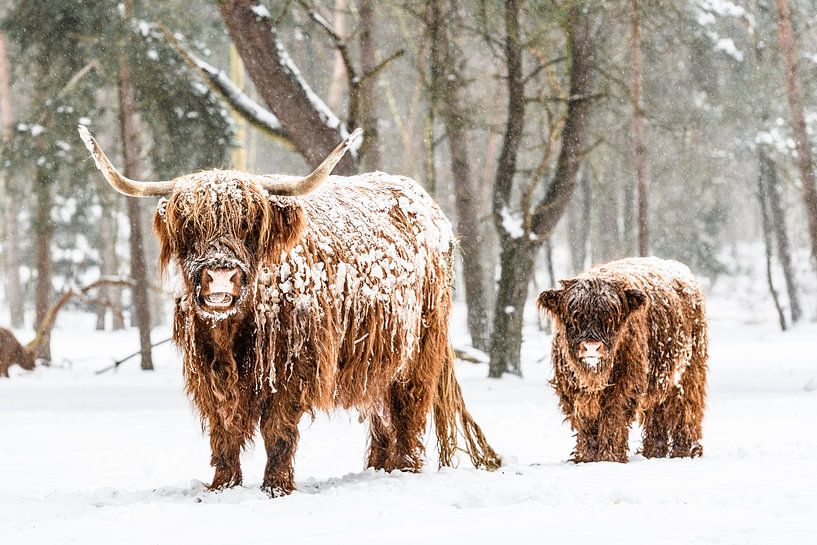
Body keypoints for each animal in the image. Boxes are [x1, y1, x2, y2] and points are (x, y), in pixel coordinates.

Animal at [78, 125, 499, 496]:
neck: (233, 331)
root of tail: (429, 207)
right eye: (190, 225)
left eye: (249, 224)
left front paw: (276, 487)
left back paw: (404, 470)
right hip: (377, 359)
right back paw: (379, 468)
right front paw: (223, 486)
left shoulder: (295, 367)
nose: (220, 276)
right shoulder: (210, 372)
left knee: (408, 409)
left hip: (420, 349)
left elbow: (278, 430)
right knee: (382, 415)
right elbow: (224, 431)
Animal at [537, 257, 708, 463]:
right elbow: (586, 426)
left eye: (610, 317)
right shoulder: (572, 390)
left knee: (686, 410)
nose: (591, 347)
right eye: (575, 316)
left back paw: (685, 452)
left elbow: (612, 419)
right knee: (657, 415)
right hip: (659, 379)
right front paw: (585, 458)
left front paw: (609, 457)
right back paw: (653, 453)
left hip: (688, 372)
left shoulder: (624, 386)